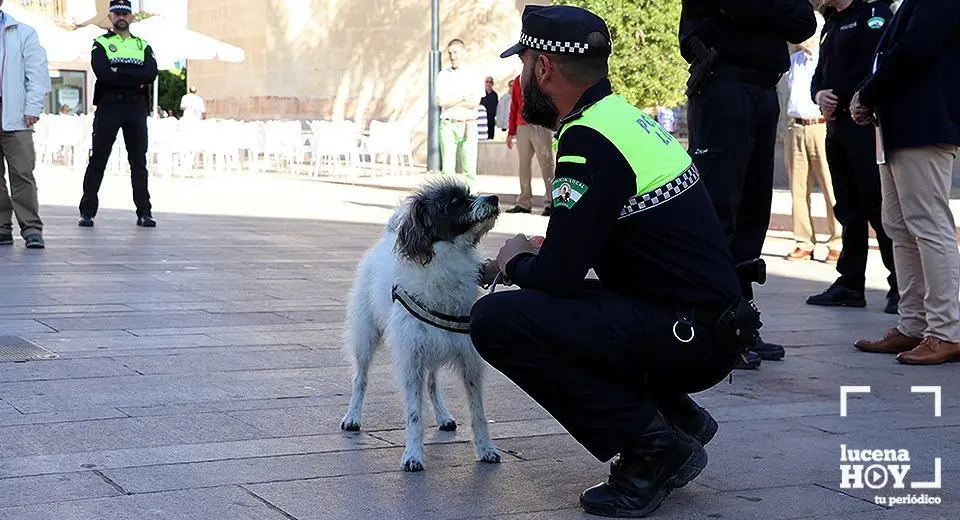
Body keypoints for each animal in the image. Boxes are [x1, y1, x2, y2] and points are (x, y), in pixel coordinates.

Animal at [340, 178, 502, 472]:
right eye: (454, 201)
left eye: (470, 193)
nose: (494, 198)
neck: (450, 257)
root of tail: (387, 237)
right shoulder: (410, 359)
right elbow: (414, 414)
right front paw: (413, 455)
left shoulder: (469, 360)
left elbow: (478, 412)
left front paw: (486, 448)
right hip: (365, 336)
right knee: (361, 378)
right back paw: (353, 416)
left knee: (432, 384)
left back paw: (443, 416)